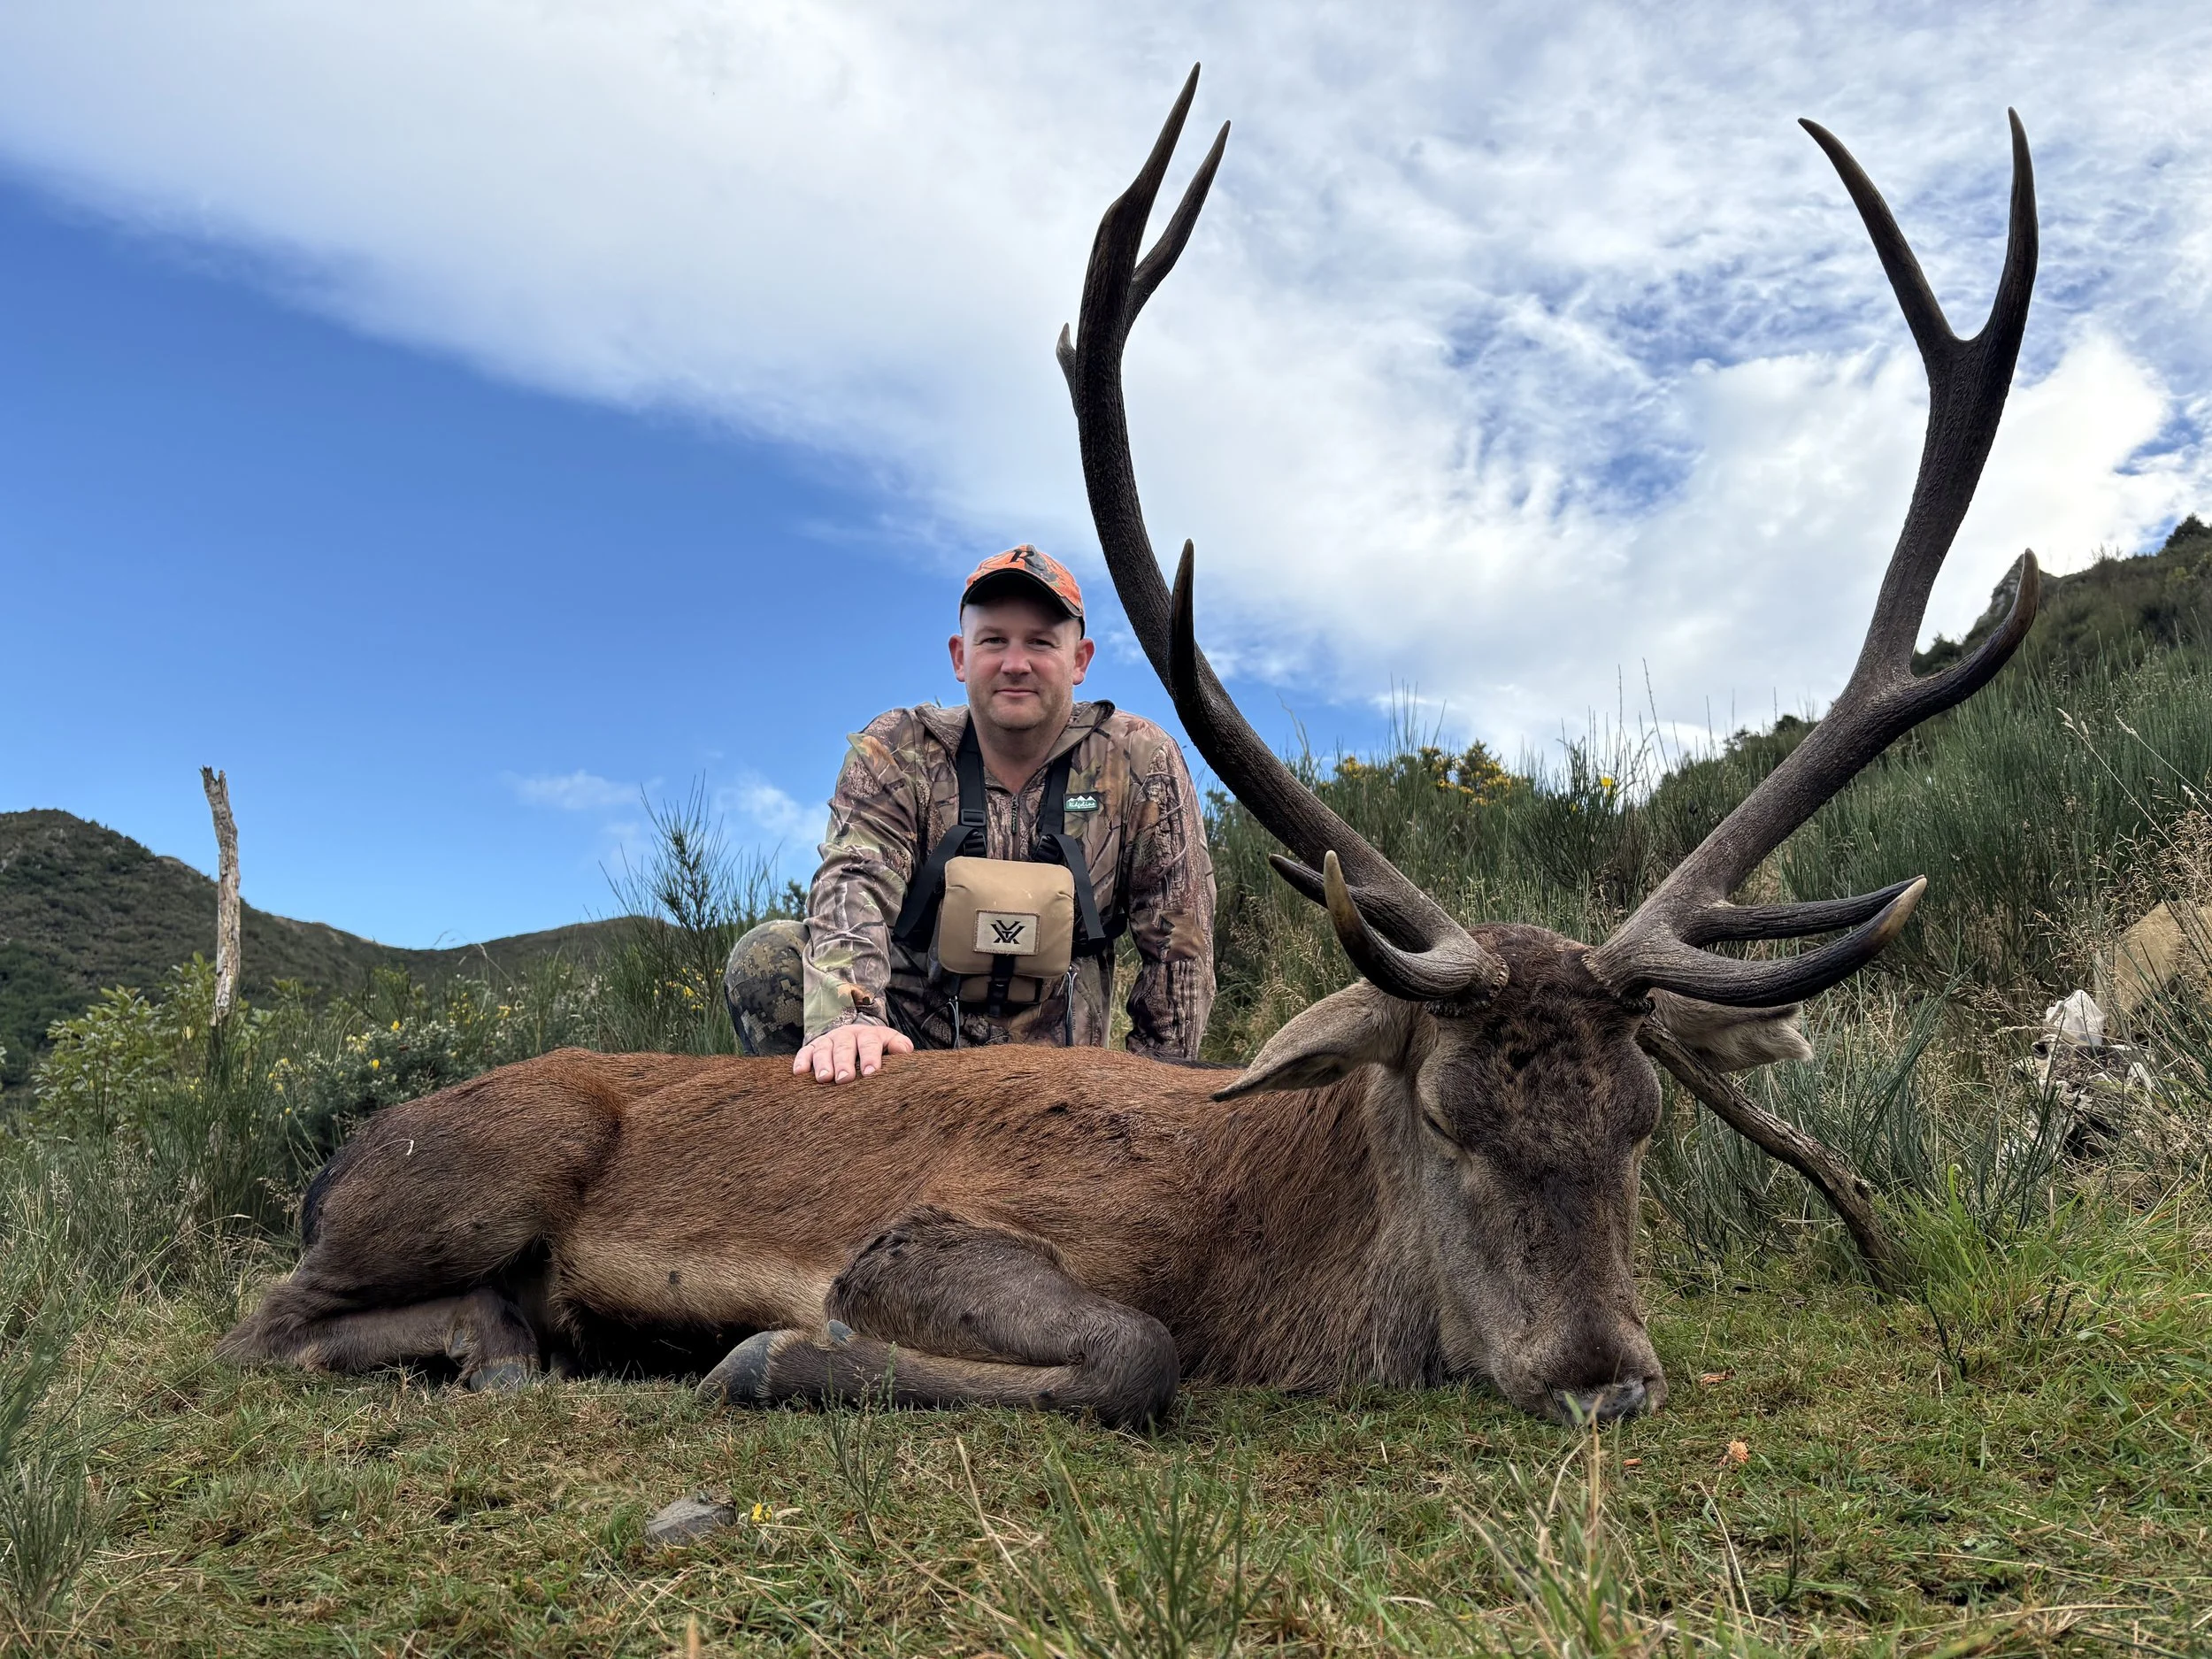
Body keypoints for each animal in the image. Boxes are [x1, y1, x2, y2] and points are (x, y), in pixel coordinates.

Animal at [219, 70, 2039, 1429]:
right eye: (1448, 1113)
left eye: (1644, 1125)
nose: (1605, 1377)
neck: (1259, 1243)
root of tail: (337, 1156)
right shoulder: (936, 1234)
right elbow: (1132, 1353)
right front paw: (767, 1352)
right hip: (482, 1163)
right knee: (265, 1312)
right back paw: (504, 1345)